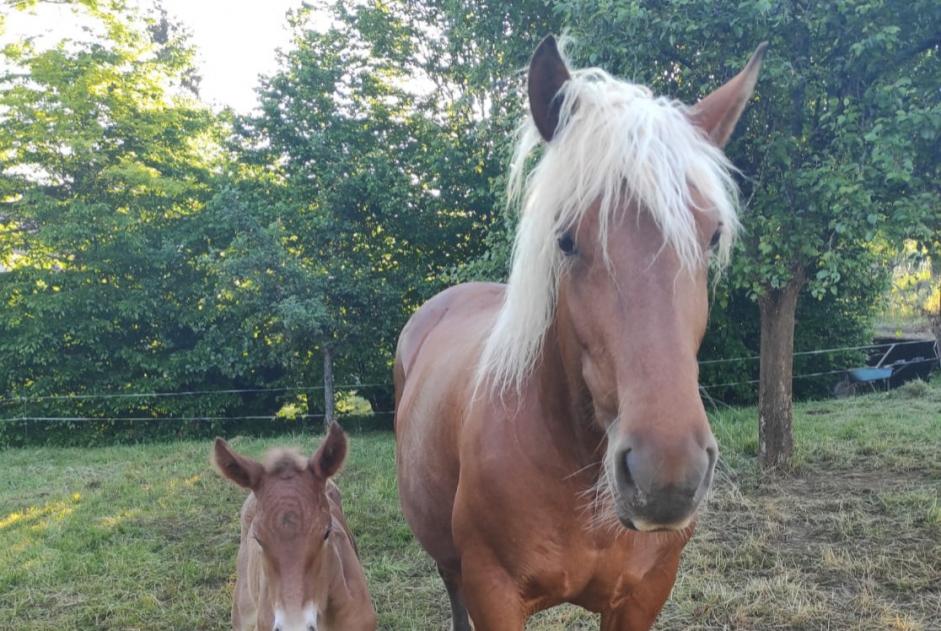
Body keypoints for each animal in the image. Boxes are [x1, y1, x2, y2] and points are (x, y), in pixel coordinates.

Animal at [392, 35, 768, 631]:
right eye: (565, 239)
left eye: (711, 237)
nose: (666, 476)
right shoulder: (492, 593)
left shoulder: (643, 595)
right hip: (449, 563)